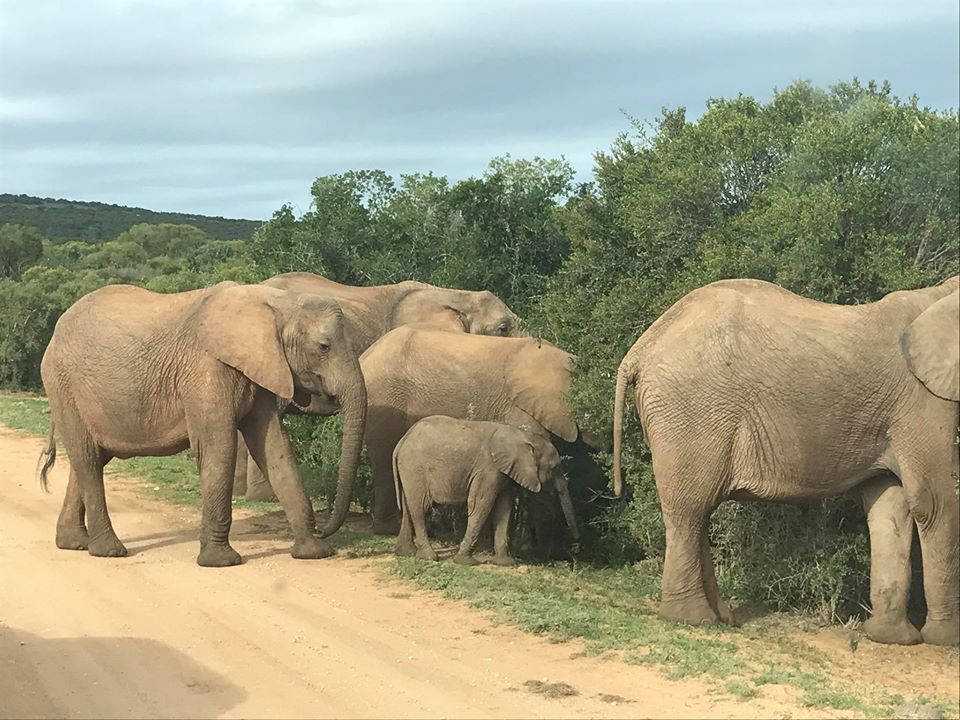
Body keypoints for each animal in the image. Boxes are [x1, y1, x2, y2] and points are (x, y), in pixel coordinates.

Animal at [38, 281, 367, 567]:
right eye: (324, 347)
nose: (325, 530)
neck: (275, 302)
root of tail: (55, 330)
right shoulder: (206, 368)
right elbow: (218, 448)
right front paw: (221, 562)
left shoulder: (258, 369)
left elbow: (276, 449)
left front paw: (313, 553)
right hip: (62, 383)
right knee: (88, 458)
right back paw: (109, 551)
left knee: (90, 458)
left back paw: (74, 543)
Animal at [360, 325, 587, 539]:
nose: (576, 539)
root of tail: (365, 355)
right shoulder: (520, 408)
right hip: (384, 397)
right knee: (384, 457)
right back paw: (391, 528)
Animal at [393, 416, 578, 565]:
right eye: (554, 468)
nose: (575, 540)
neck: (524, 435)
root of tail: (402, 441)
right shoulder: (488, 469)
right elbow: (480, 505)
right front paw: (466, 562)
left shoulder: (504, 473)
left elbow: (504, 509)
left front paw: (505, 563)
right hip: (415, 466)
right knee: (421, 506)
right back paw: (429, 556)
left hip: (408, 468)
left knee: (408, 506)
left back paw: (406, 553)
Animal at [612, 276, 959, 646]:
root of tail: (639, 349)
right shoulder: (923, 399)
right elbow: (935, 504)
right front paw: (947, 640)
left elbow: (890, 506)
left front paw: (890, 639)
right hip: (690, 408)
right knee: (689, 510)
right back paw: (694, 619)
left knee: (698, 511)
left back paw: (721, 617)